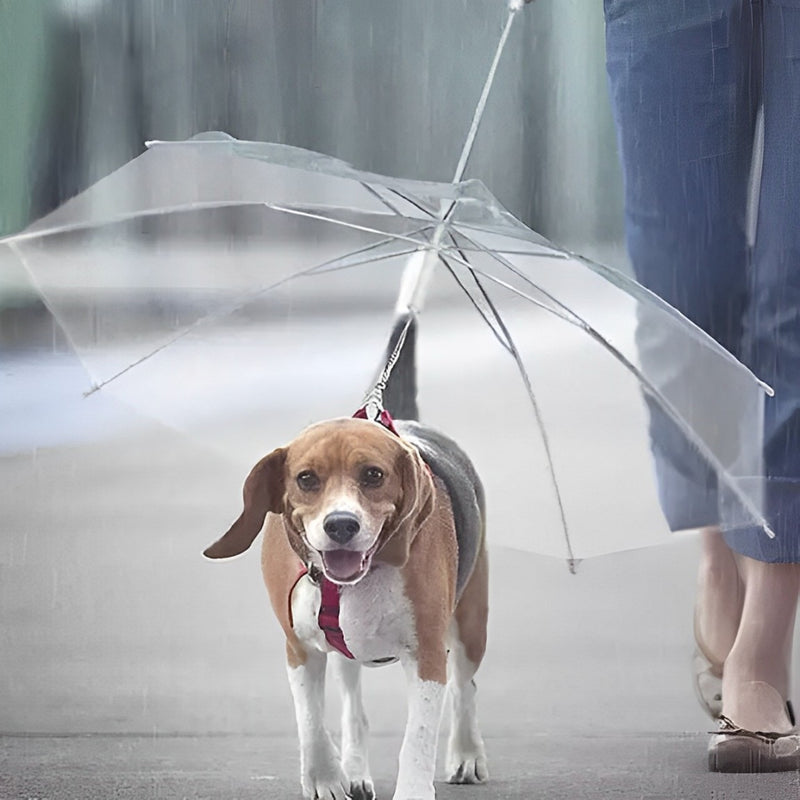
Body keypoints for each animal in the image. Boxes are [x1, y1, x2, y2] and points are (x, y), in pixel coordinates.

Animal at [205, 316, 488, 800]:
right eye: (306, 479)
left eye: (373, 475)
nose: (341, 524)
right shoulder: (299, 647)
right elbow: (311, 721)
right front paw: (325, 777)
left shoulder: (428, 652)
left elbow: (418, 738)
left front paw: (413, 790)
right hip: (344, 655)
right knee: (354, 708)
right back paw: (354, 769)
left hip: (470, 623)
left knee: (465, 686)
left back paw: (466, 753)